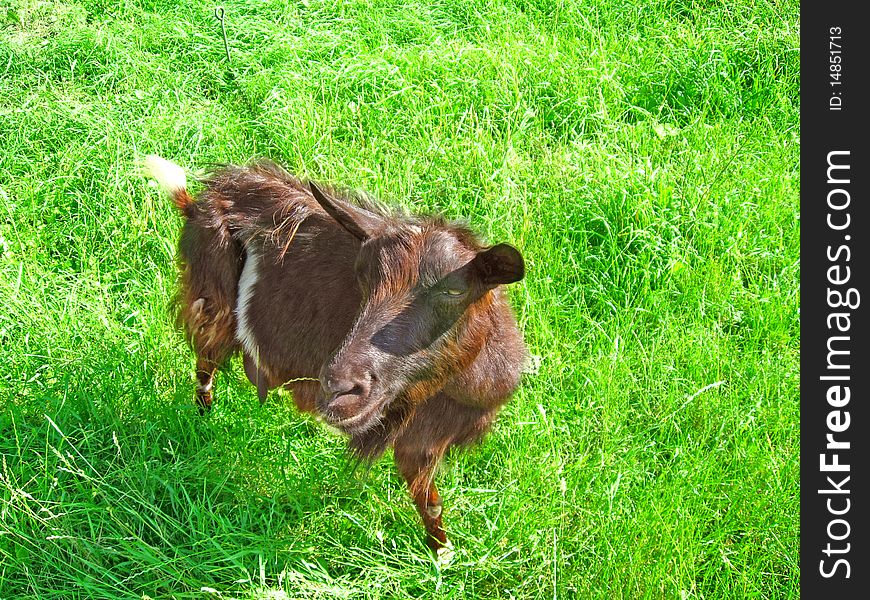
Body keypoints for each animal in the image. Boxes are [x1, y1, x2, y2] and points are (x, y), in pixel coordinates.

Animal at [146, 156, 528, 552]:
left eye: (454, 291)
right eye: (364, 277)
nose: (338, 387)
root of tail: (198, 202)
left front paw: (442, 551)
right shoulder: (414, 437)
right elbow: (430, 501)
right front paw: (442, 552)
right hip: (211, 303)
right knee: (205, 361)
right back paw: (202, 416)